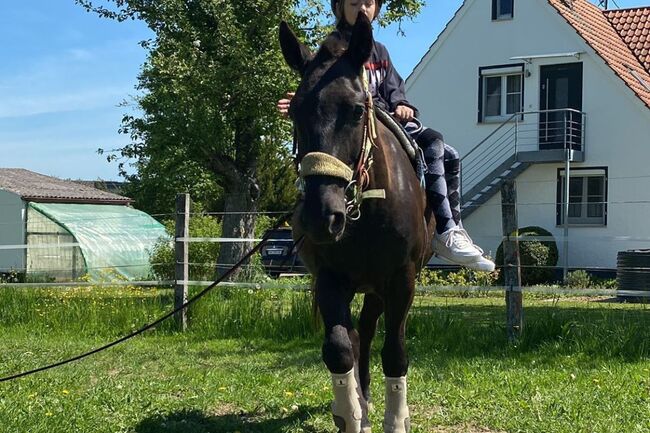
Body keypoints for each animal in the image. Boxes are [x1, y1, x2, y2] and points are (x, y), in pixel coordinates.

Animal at [278, 13, 432, 432]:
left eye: (357, 111)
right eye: (294, 112)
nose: (321, 216)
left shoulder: (401, 280)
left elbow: (395, 352)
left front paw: (396, 420)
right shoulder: (330, 279)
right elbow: (338, 347)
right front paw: (350, 414)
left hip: (377, 288)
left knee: (367, 330)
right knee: (355, 335)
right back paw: (359, 403)